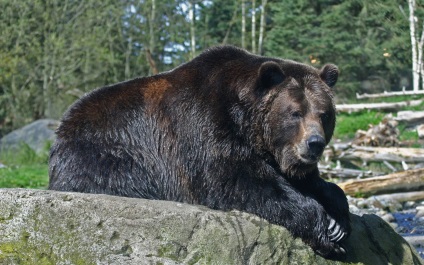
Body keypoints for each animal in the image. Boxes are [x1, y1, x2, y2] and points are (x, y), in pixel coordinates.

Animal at [48, 44, 352, 258]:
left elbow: (316, 183)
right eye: (295, 113)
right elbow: (238, 180)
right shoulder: (203, 128)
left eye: (324, 114)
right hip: (107, 150)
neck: (246, 121)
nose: (314, 143)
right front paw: (326, 228)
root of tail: (62, 125)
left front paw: (339, 220)